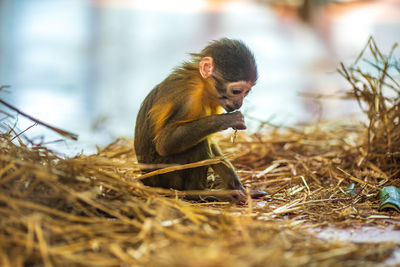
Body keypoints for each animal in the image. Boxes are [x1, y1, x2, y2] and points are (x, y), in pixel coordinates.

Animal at [134, 38, 266, 203]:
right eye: (236, 91)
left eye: (246, 93)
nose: (239, 103)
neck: (203, 86)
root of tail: (147, 179)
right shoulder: (188, 99)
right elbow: (164, 144)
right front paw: (227, 120)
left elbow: (211, 142)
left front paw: (236, 184)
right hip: (165, 174)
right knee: (198, 143)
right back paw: (196, 192)